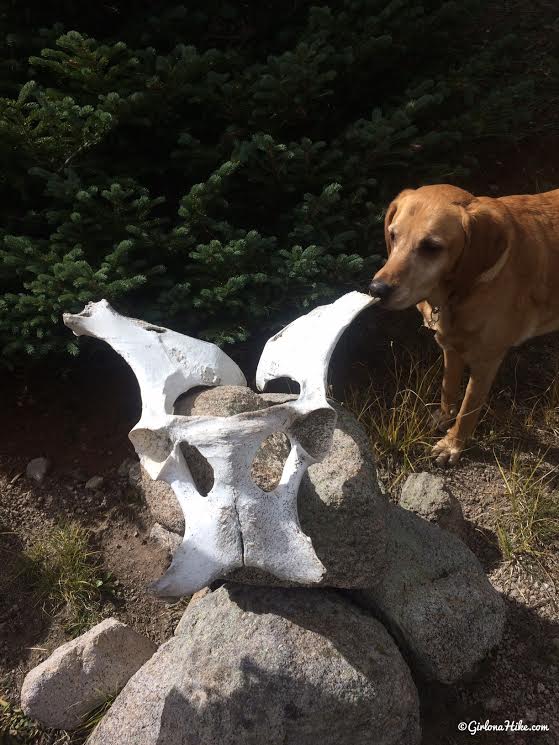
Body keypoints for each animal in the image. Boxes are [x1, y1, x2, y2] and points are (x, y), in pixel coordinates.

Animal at [372, 185, 559, 464]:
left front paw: (452, 445)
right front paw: (443, 417)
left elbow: (468, 409)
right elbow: (448, 388)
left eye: (431, 247)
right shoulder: (449, 346)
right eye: (393, 236)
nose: (376, 289)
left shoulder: (486, 362)